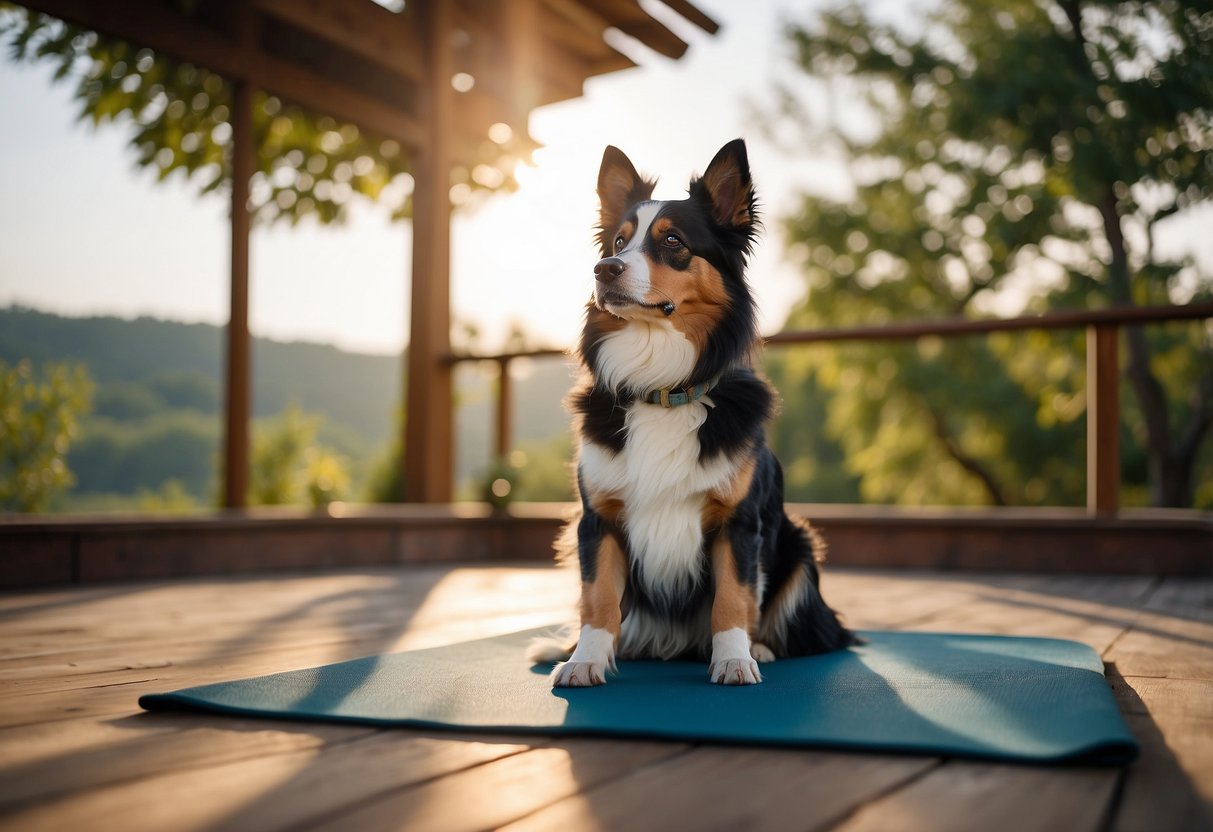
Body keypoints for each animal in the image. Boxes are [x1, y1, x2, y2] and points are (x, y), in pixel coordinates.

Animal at [531, 140, 853, 688]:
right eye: (618, 241)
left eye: (673, 241)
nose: (604, 269)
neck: (664, 386)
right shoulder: (598, 520)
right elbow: (597, 599)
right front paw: (585, 660)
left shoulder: (737, 523)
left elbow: (732, 599)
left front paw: (734, 659)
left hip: (800, 548)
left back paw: (761, 648)